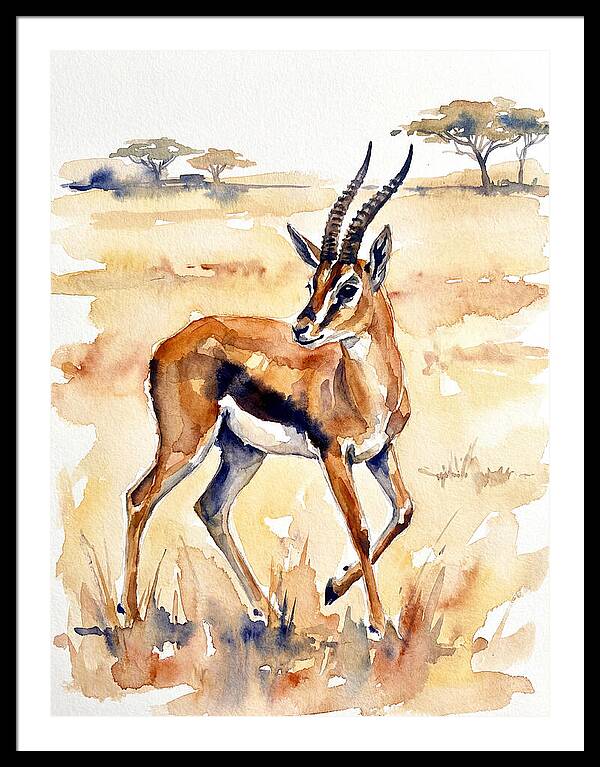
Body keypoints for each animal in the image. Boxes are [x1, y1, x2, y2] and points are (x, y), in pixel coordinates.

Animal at [123, 142, 415, 637]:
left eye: (348, 286)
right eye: (313, 281)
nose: (302, 329)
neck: (364, 391)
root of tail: (165, 344)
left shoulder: (379, 452)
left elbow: (404, 511)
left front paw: (333, 588)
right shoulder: (334, 455)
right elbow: (359, 528)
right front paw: (378, 623)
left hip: (242, 451)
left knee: (211, 508)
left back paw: (269, 611)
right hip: (186, 443)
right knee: (139, 499)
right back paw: (129, 614)